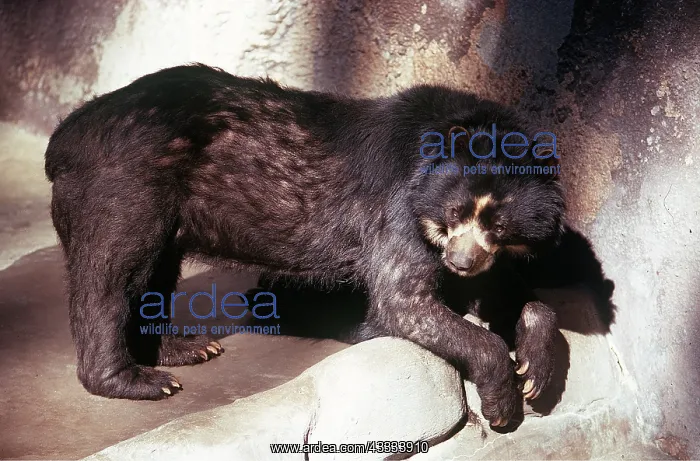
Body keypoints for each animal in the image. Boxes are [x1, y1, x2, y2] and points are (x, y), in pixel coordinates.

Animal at [44, 64, 564, 427]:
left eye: (499, 227)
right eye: (455, 212)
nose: (459, 262)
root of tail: (64, 136)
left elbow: (505, 289)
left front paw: (535, 369)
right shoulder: (399, 207)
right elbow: (404, 302)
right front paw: (504, 402)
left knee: (155, 272)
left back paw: (185, 349)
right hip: (124, 185)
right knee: (114, 274)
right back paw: (138, 379)